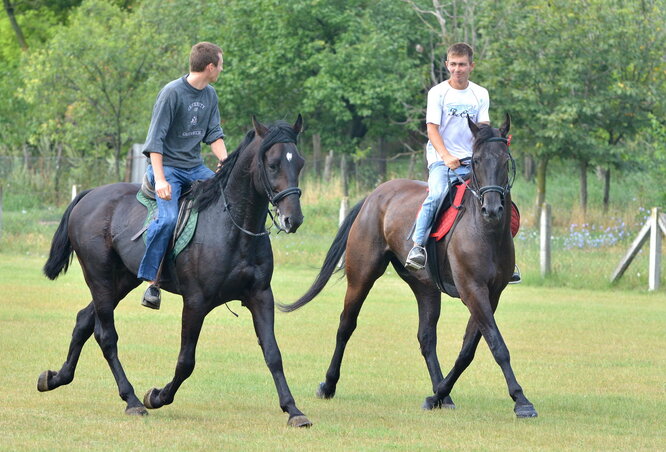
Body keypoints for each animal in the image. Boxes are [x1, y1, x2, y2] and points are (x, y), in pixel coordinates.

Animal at [38, 116, 312, 428]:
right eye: (273, 164)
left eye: (299, 162)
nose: (293, 218)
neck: (232, 227)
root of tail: (90, 195)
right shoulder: (195, 302)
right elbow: (186, 361)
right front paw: (157, 396)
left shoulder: (261, 296)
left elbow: (273, 353)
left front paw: (293, 410)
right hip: (100, 279)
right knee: (106, 336)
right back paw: (132, 400)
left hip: (121, 280)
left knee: (84, 320)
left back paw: (56, 378)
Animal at [278, 115, 536, 416]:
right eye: (476, 160)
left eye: (505, 161)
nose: (492, 209)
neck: (485, 231)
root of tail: (375, 195)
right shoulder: (473, 290)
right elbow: (497, 344)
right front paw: (521, 400)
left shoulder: (490, 294)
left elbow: (468, 350)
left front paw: (437, 395)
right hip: (362, 276)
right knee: (346, 325)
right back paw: (328, 385)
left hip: (425, 287)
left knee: (426, 338)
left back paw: (442, 395)